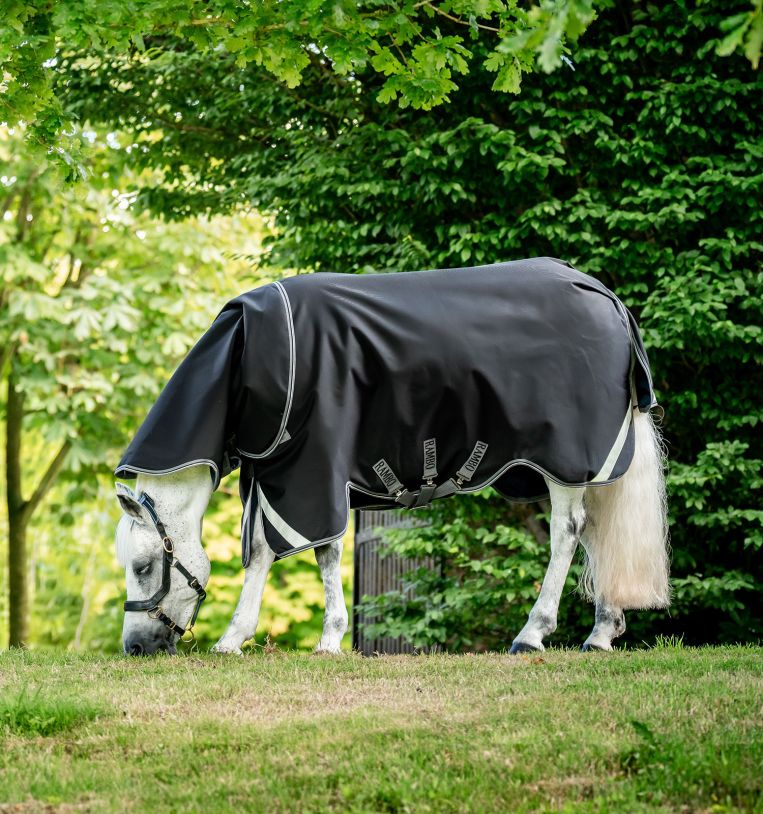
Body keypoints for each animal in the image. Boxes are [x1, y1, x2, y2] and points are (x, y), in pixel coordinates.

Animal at [114, 258, 670, 656]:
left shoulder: (314, 470)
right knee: (597, 532)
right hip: (566, 467)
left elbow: (315, 550)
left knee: (567, 533)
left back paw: (532, 633)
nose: (135, 647)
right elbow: (263, 550)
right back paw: (601, 633)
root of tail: (605, 297)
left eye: (143, 566)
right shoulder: (275, 476)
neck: (248, 361)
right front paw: (243, 637)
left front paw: (320, 639)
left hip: (564, 462)